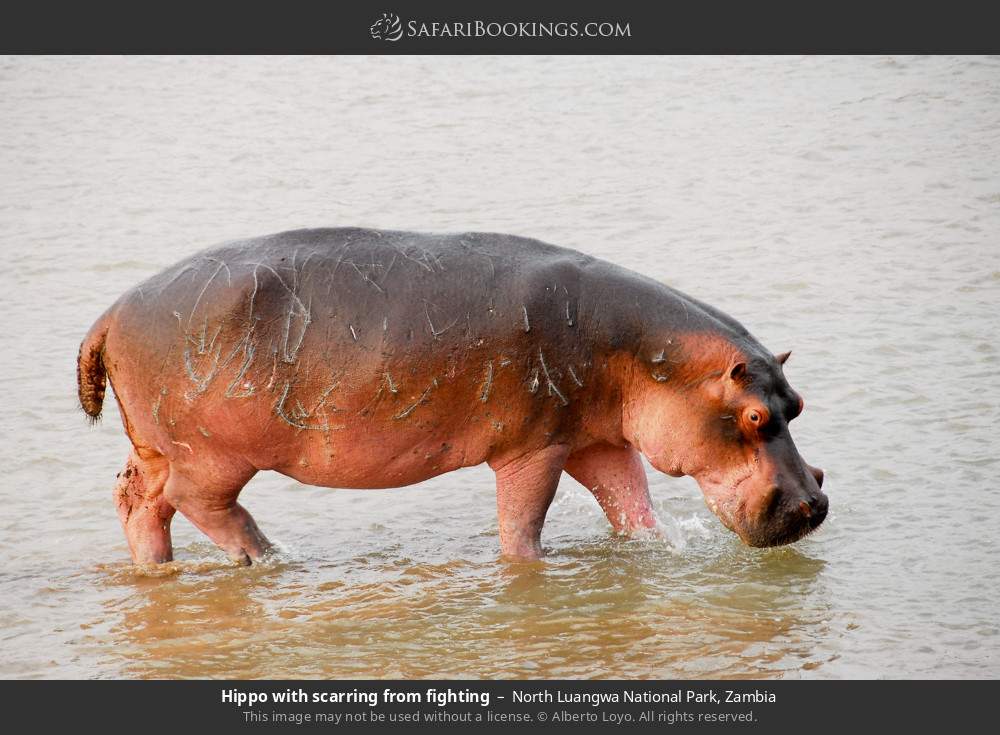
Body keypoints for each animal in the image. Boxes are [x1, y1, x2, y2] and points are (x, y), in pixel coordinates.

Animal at [77, 228, 827, 564]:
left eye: (796, 406)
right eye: (754, 415)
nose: (813, 505)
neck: (649, 355)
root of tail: (108, 312)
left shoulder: (596, 437)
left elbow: (631, 504)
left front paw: (654, 547)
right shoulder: (534, 445)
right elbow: (523, 523)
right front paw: (527, 567)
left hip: (154, 445)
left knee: (136, 500)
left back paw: (160, 570)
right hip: (211, 453)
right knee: (200, 503)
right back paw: (271, 556)